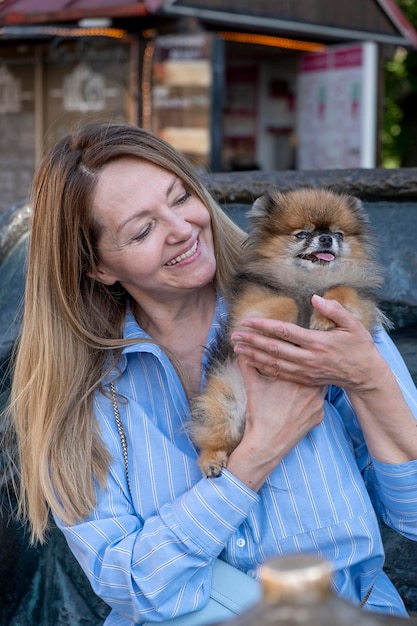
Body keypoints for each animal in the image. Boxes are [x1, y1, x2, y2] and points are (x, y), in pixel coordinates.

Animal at [188, 188, 384, 476]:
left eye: (339, 234)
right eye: (302, 234)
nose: (326, 238)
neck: (310, 283)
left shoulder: (361, 311)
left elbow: (341, 291)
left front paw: (323, 317)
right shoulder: (250, 307)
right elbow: (285, 302)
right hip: (226, 400)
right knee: (214, 436)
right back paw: (211, 460)